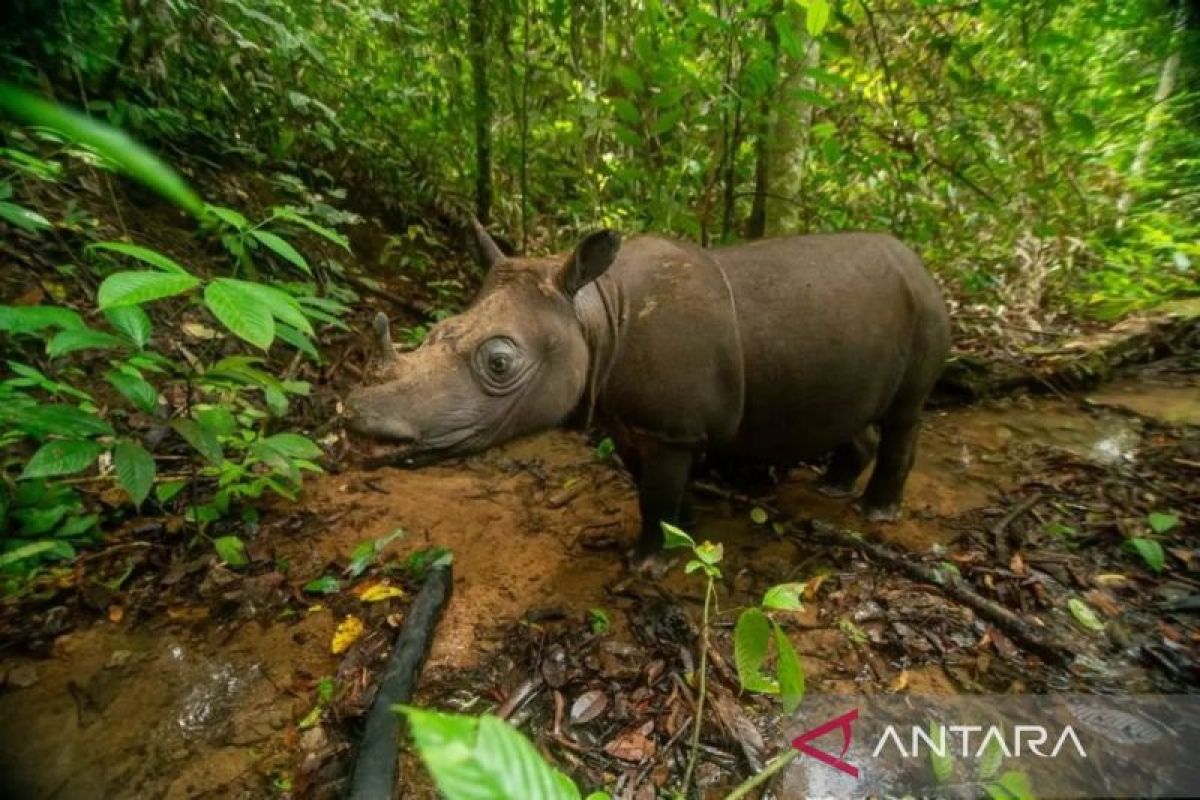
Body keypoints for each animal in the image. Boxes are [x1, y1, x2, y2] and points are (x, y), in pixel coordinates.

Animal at [345, 222, 951, 558]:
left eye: (499, 362)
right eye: (439, 329)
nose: (355, 418)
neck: (591, 313)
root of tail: (918, 260)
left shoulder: (671, 429)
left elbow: (654, 493)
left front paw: (646, 564)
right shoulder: (634, 418)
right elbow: (651, 487)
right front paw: (686, 531)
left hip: (926, 305)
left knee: (905, 411)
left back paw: (876, 514)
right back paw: (834, 488)